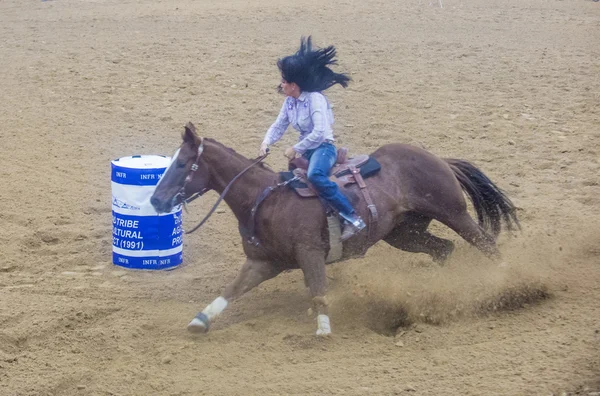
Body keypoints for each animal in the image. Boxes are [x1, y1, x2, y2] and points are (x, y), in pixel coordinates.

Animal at [151, 122, 520, 336]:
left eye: (182, 163)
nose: (155, 200)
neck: (266, 199)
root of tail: (440, 159)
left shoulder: (310, 254)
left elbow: (318, 291)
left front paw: (323, 330)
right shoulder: (263, 262)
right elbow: (231, 290)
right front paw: (200, 320)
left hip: (454, 213)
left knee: (486, 244)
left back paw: (507, 282)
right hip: (404, 235)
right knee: (443, 249)